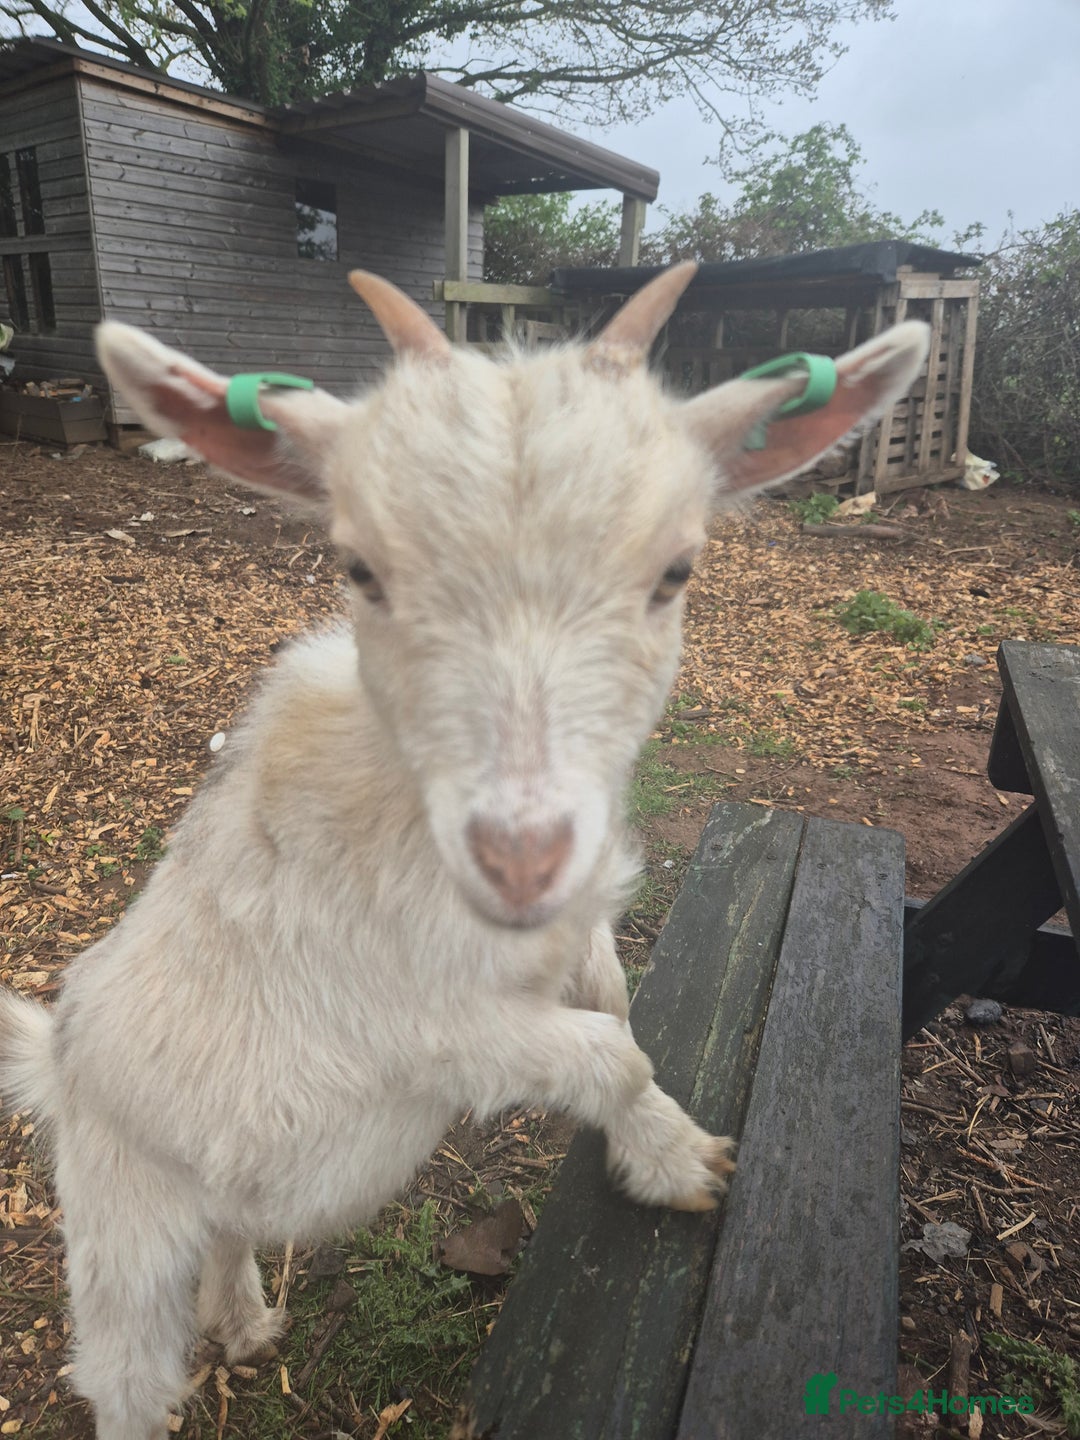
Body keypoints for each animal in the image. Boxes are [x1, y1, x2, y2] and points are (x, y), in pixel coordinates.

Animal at [0, 263, 929, 1440]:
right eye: (359, 568)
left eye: (677, 569)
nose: (521, 861)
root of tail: (56, 1056)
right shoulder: (425, 1030)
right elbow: (607, 1050)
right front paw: (680, 1165)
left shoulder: (575, 931)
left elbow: (619, 1016)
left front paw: (660, 1147)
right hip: (121, 1221)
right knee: (122, 1371)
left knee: (231, 1224)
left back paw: (246, 1321)